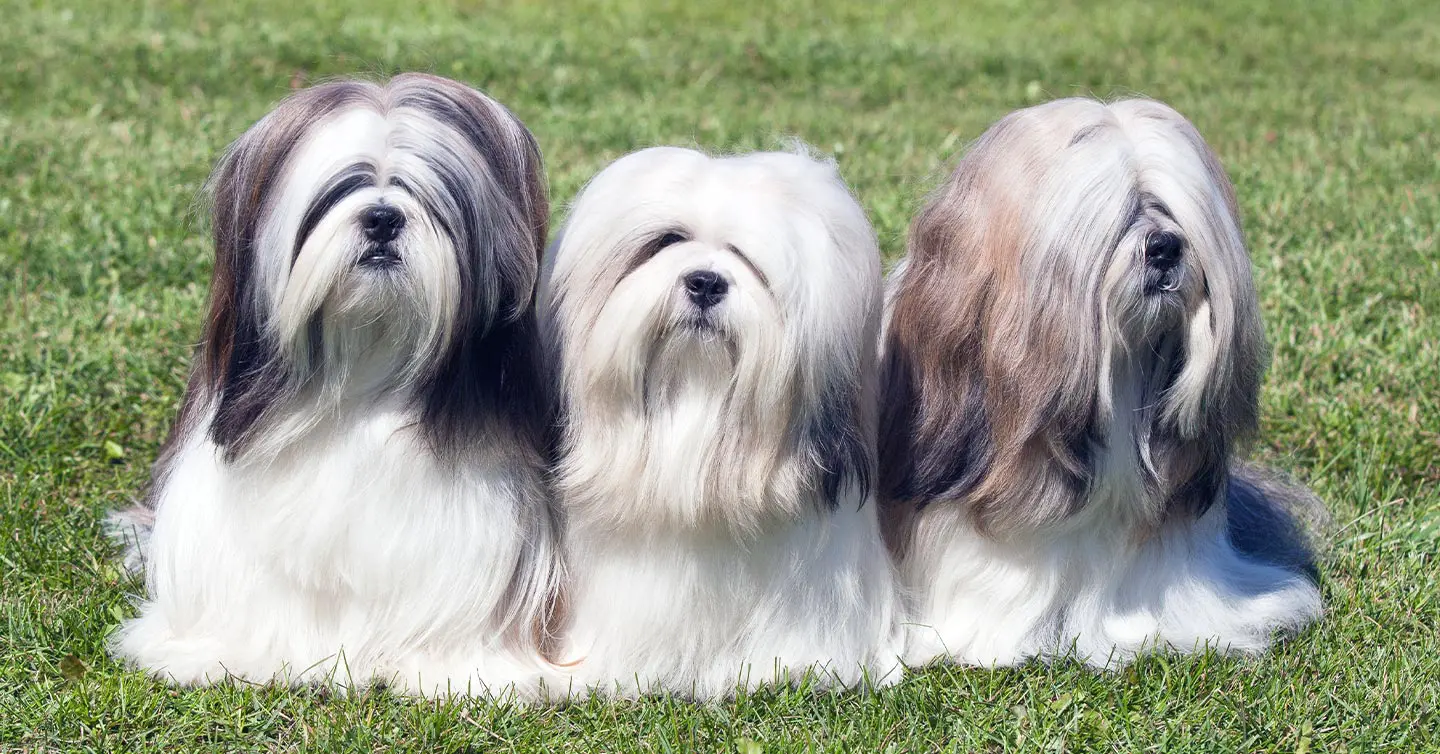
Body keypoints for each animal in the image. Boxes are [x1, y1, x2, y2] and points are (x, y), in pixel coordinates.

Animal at [105, 73, 555, 699]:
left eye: (429, 193)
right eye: (340, 189)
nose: (383, 218)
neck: (363, 370)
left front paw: (454, 668)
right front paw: (216, 652)